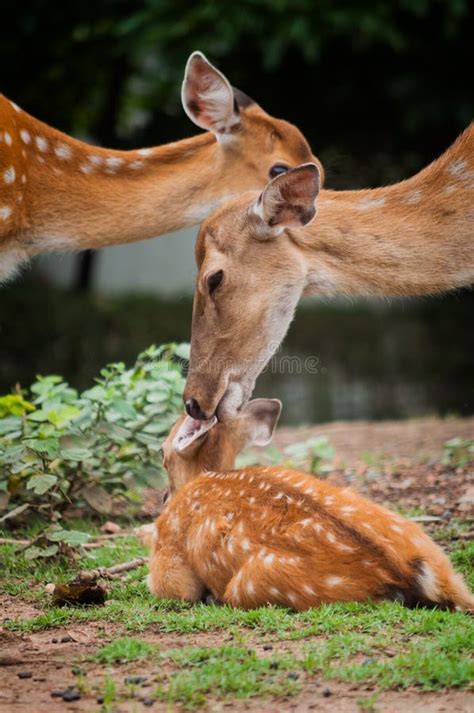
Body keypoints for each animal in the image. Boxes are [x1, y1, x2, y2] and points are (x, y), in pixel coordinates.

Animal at [146, 404, 472, 608]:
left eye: (161, 451)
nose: (163, 499)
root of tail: (405, 573)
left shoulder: (168, 551)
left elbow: (175, 588)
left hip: (255, 582)